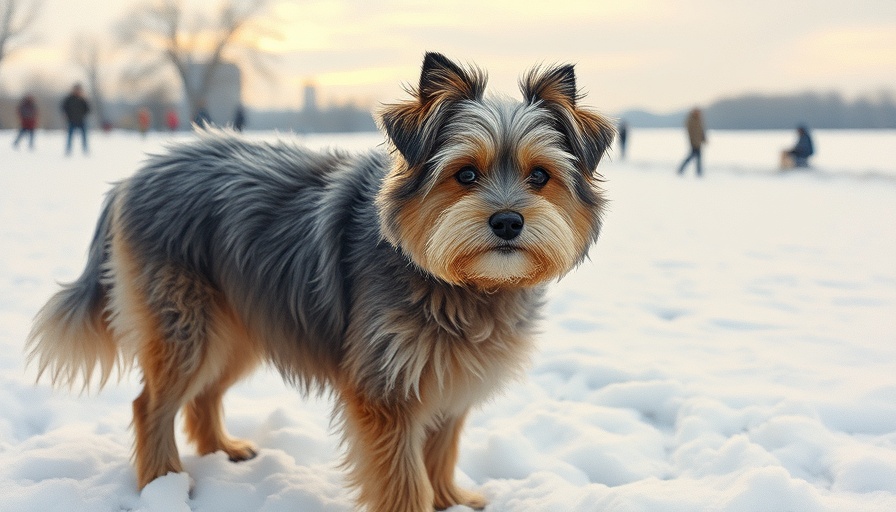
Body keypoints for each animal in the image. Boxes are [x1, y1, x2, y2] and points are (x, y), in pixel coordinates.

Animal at [28, 53, 616, 512]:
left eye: (540, 176)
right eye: (465, 174)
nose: (509, 222)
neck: (460, 282)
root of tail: (136, 175)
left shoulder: (450, 375)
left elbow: (440, 451)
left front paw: (449, 498)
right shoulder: (385, 385)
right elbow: (404, 475)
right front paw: (422, 504)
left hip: (240, 322)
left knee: (203, 395)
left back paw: (221, 450)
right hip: (185, 324)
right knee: (150, 405)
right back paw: (162, 483)